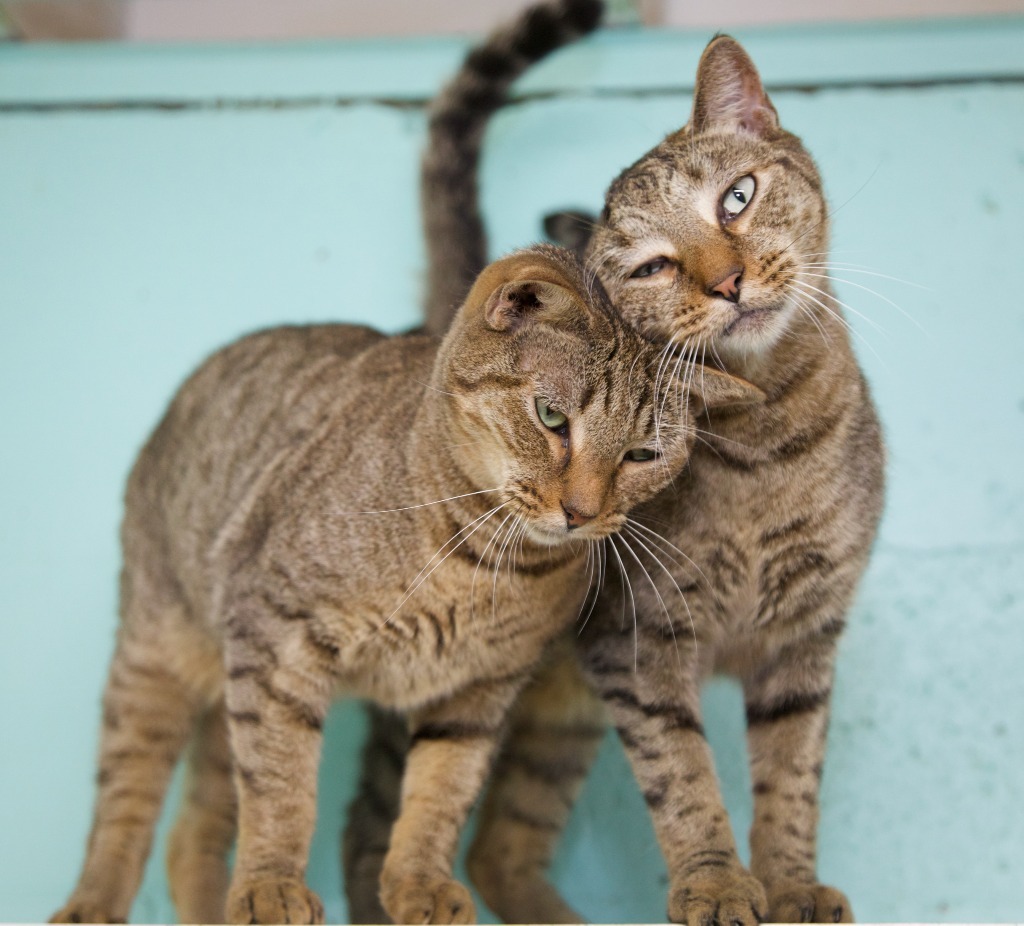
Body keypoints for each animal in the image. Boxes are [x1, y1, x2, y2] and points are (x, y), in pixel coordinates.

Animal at [49, 240, 761, 926]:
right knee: (127, 801)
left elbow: (439, 794)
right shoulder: (275, 637)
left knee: (191, 831)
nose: (582, 512)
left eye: (642, 455)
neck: (482, 566)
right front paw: (274, 886)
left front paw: (419, 883)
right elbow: (281, 786)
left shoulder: (478, 689)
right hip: (157, 659)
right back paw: (93, 903)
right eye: (552, 416)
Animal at [348, 1, 884, 926]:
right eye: (653, 267)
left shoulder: (805, 637)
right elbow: (684, 773)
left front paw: (791, 885)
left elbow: (792, 777)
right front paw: (715, 881)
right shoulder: (639, 643)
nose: (729, 282)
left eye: (737, 198)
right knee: (372, 830)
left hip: (556, 720)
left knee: (501, 846)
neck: (769, 440)